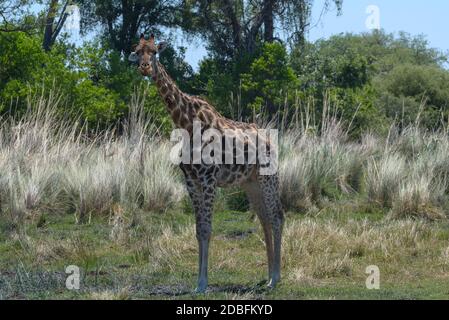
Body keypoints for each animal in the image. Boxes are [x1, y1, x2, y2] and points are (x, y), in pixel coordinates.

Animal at [129, 33, 284, 292]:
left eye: (155, 52)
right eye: (138, 52)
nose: (145, 67)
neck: (186, 123)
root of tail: (272, 141)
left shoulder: (209, 178)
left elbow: (207, 228)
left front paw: (202, 283)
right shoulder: (191, 180)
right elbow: (198, 229)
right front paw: (198, 283)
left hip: (268, 177)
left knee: (277, 217)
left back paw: (276, 278)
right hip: (250, 182)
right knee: (264, 219)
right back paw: (267, 275)